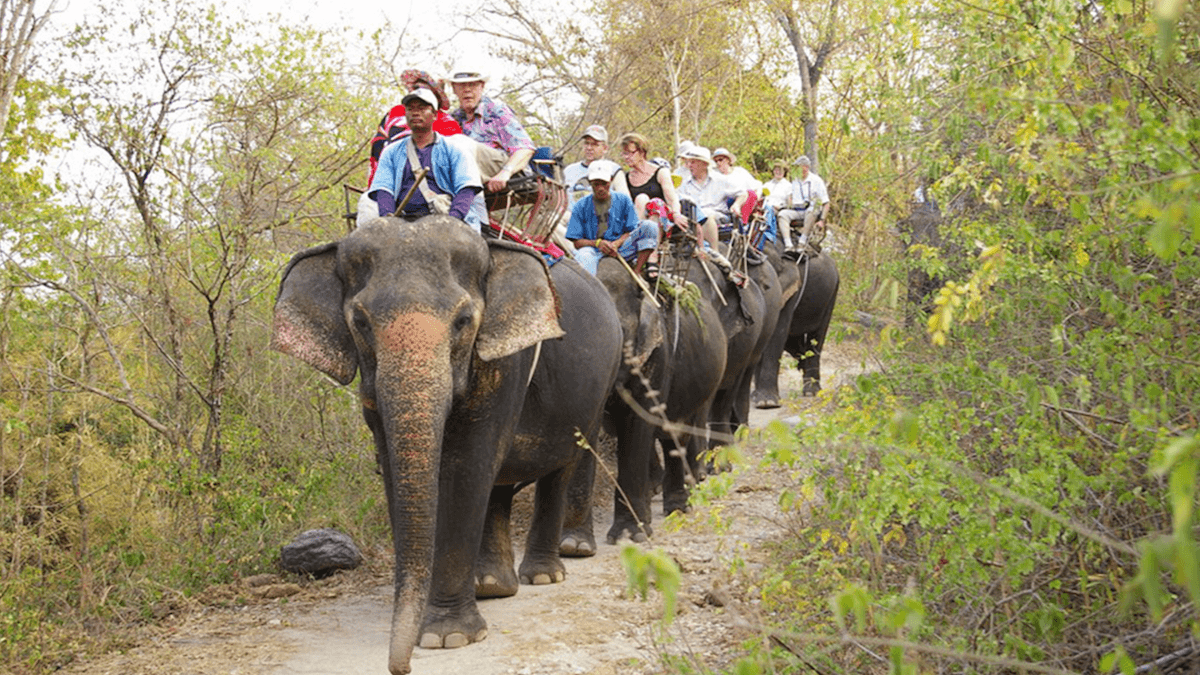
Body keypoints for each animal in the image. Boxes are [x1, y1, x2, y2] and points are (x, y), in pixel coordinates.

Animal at [270, 216, 622, 675]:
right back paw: (491, 586)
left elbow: (465, 466)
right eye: (360, 322)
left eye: (463, 320)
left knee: (558, 469)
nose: (400, 668)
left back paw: (544, 575)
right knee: (499, 485)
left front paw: (446, 637)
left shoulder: (502, 362)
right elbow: (400, 469)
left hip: (596, 389)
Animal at [559, 255, 727, 553]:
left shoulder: (657, 357)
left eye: (618, 334)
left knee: (677, 435)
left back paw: (678, 508)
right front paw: (573, 546)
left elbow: (637, 427)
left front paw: (630, 535)